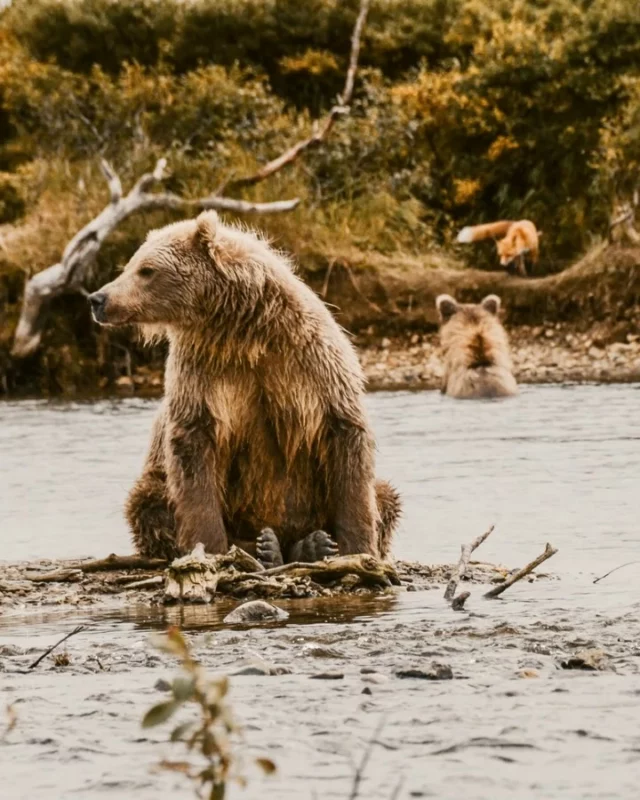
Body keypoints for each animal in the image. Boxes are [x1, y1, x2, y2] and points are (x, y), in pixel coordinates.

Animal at [90, 212, 400, 564]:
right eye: (131, 266)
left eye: (146, 270)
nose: (98, 299)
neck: (241, 330)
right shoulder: (204, 375)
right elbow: (193, 453)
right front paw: (209, 547)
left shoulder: (310, 363)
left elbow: (347, 442)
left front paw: (356, 546)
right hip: (156, 481)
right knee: (147, 504)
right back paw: (266, 547)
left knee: (386, 494)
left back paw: (310, 543)